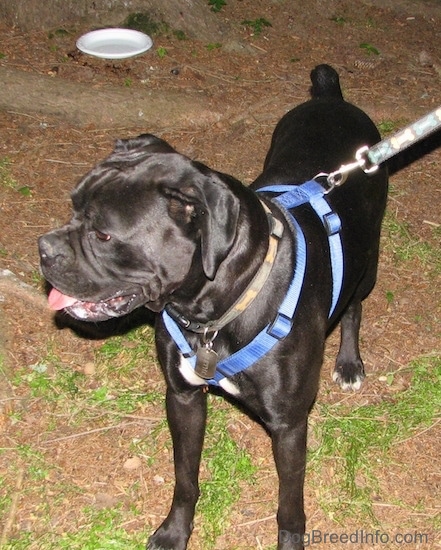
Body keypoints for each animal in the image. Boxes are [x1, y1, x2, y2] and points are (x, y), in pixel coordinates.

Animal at [39, 66, 386, 550]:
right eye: (72, 205)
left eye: (104, 235)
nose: (43, 250)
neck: (215, 310)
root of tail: (330, 96)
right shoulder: (183, 397)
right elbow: (185, 478)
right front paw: (174, 531)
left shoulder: (289, 425)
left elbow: (290, 506)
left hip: (366, 260)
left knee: (354, 304)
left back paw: (349, 362)